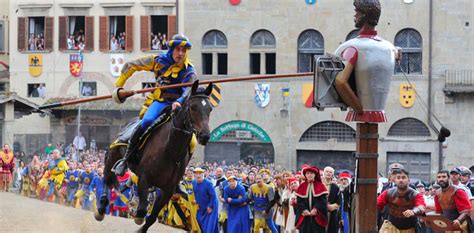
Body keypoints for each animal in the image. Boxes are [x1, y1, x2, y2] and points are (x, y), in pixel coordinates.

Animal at [95, 81, 214, 232]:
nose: (205, 136)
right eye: (193, 107)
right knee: (107, 179)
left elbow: (152, 216)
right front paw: (137, 215)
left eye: (210, 109)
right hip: (112, 156)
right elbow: (141, 210)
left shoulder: (167, 189)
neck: (171, 150)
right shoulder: (144, 179)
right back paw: (101, 207)